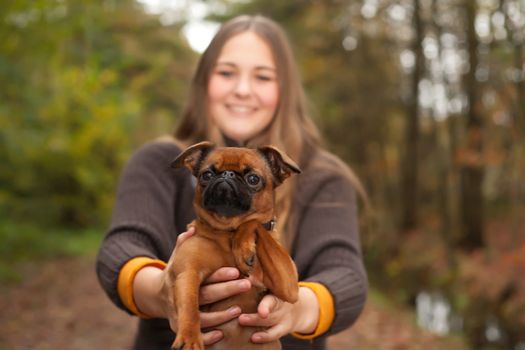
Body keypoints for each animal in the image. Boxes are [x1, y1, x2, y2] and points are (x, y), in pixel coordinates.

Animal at [168, 141, 298, 348]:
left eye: (253, 179)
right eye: (207, 174)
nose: (227, 174)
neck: (227, 233)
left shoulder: (289, 284)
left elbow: (252, 222)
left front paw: (243, 249)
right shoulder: (187, 273)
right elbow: (190, 309)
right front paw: (189, 339)